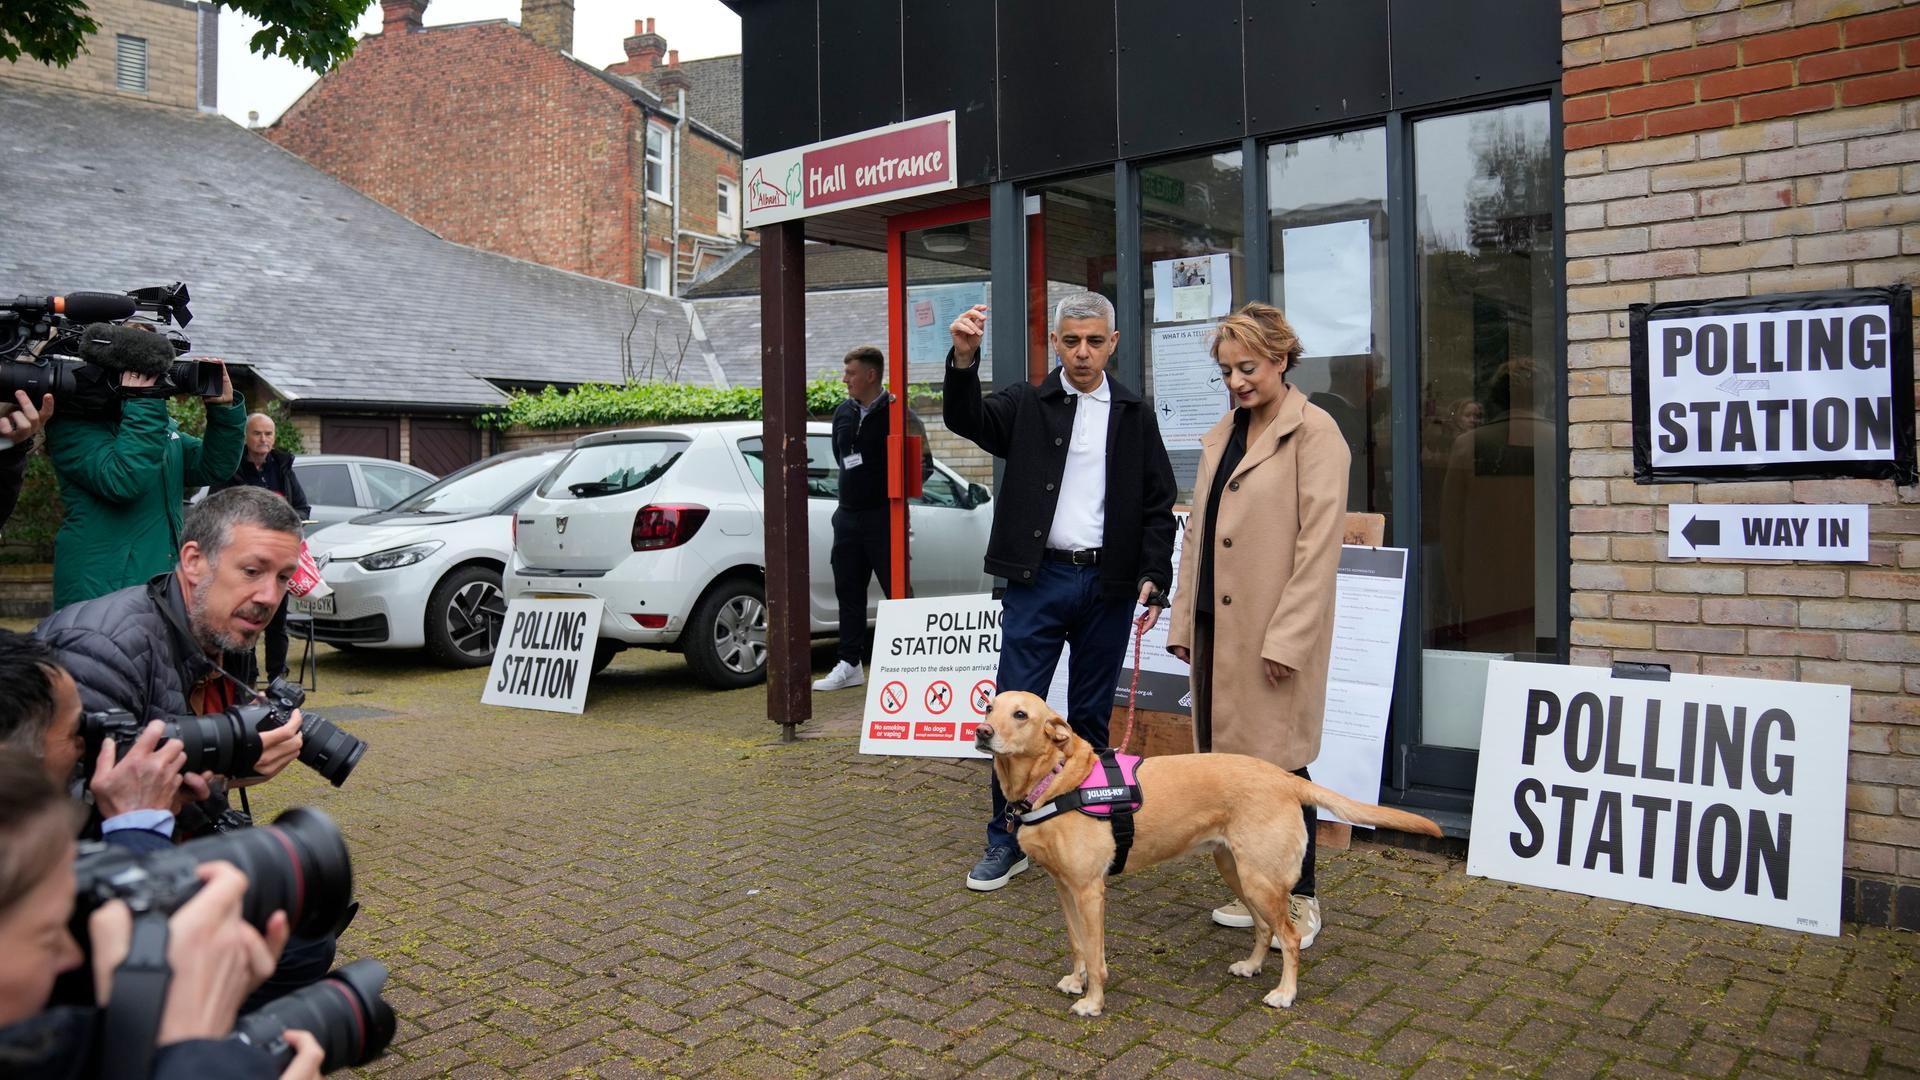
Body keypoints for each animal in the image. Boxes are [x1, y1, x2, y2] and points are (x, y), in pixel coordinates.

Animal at [975, 687, 1443, 1006]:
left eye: (1020, 714)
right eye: (989, 707)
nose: (981, 731)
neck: (1054, 780)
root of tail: (1283, 777)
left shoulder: (1090, 891)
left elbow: (1095, 951)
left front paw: (1093, 1001)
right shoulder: (1065, 888)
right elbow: (1077, 943)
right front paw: (1077, 981)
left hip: (1260, 881)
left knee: (1289, 937)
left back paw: (1284, 993)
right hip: (1239, 873)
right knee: (1265, 928)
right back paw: (1252, 967)